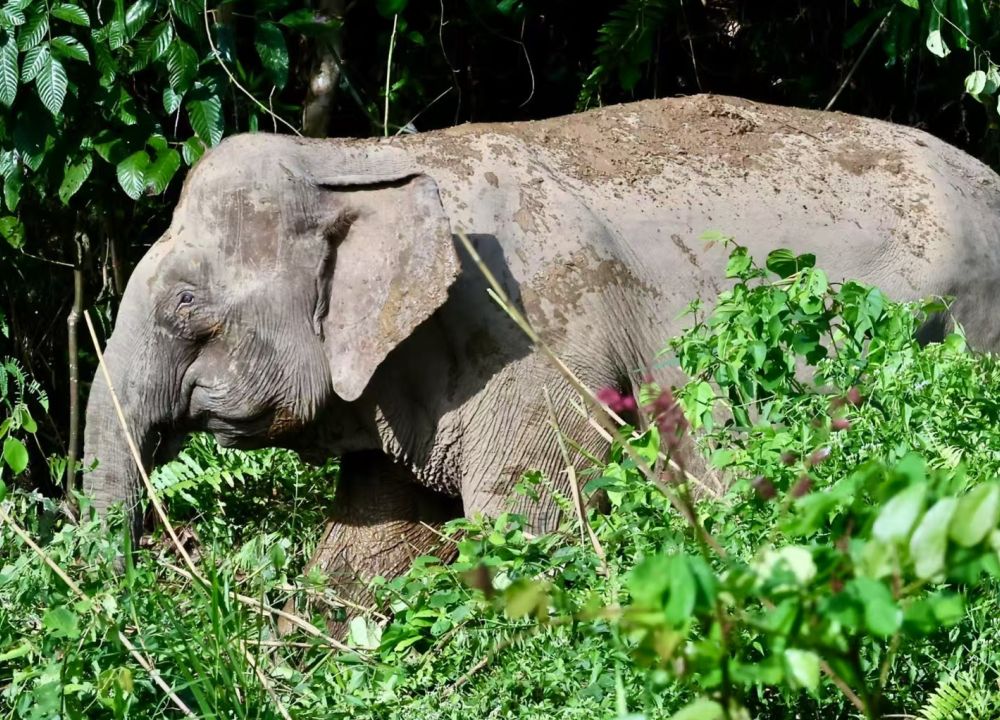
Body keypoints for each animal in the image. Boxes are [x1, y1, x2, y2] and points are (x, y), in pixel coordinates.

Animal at [83, 93, 1000, 611]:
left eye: (187, 302)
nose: (167, 561)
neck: (357, 158)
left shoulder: (535, 341)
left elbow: (526, 526)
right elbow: (364, 553)